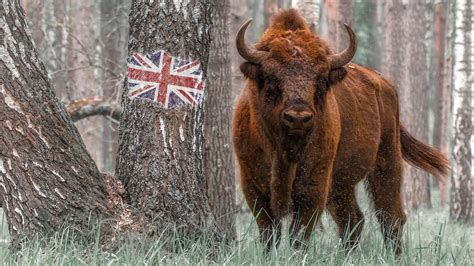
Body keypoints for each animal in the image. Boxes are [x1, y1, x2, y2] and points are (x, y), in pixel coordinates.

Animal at [232, 8, 448, 254]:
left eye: (321, 79)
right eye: (270, 77)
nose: (298, 117)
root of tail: (384, 84)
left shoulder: (314, 185)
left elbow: (299, 233)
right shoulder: (252, 185)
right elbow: (269, 231)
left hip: (386, 161)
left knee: (390, 216)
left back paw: (395, 255)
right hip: (342, 184)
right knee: (353, 219)